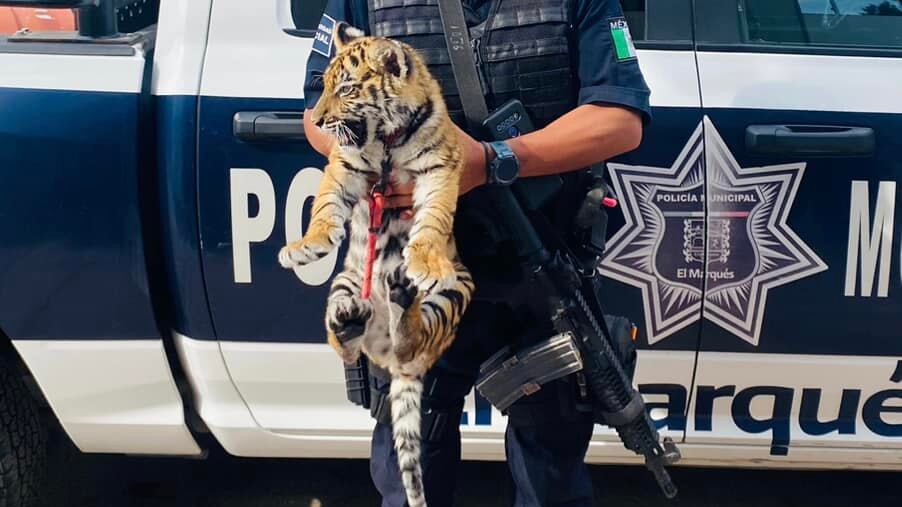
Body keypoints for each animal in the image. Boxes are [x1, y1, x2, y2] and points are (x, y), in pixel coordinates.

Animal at [277, 23, 475, 507]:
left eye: (346, 89)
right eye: (324, 86)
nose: (318, 119)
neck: (385, 136)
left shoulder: (441, 167)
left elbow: (433, 217)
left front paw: (423, 258)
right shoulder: (344, 164)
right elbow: (325, 206)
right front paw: (307, 245)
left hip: (455, 292)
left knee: (411, 339)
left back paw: (403, 291)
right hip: (347, 282)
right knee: (347, 344)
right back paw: (350, 321)